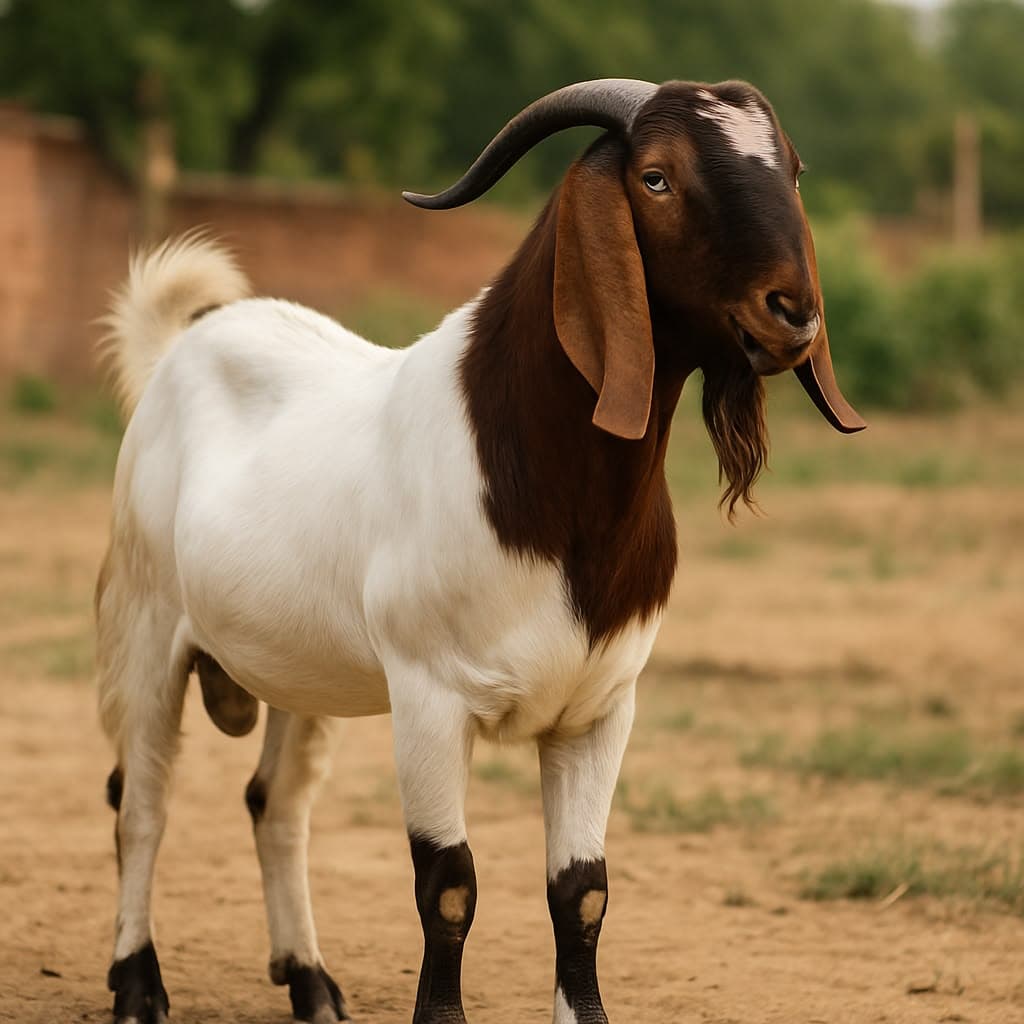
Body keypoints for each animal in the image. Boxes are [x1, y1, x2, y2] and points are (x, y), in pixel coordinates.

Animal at [95, 78, 864, 1024]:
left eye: (792, 169)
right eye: (655, 177)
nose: (794, 313)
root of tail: (177, 349)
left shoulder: (602, 707)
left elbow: (582, 890)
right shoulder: (430, 697)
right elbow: (448, 884)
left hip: (301, 670)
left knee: (275, 805)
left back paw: (310, 981)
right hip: (144, 620)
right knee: (142, 799)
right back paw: (138, 985)